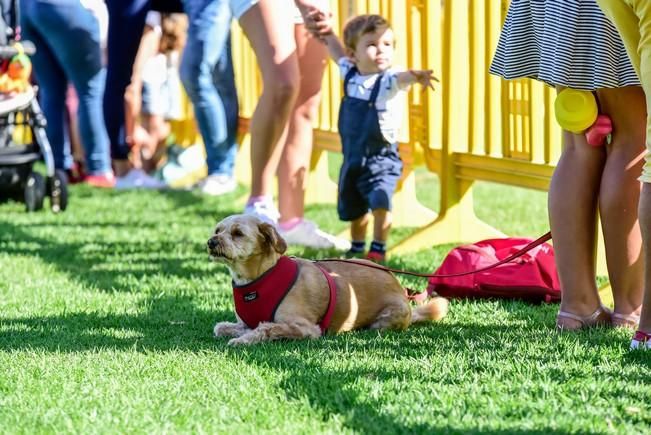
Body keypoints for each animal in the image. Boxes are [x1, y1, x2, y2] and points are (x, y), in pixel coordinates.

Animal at [209, 215, 448, 348]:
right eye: (217, 230)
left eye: (238, 233)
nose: (211, 242)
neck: (258, 278)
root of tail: (400, 289)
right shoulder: (243, 322)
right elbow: (221, 327)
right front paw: (238, 333)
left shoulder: (306, 328)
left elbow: (266, 328)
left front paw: (243, 340)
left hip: (388, 317)